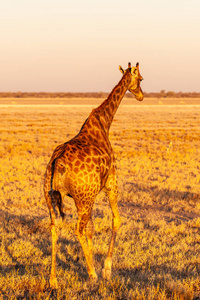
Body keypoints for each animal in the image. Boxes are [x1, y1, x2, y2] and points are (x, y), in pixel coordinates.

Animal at [43, 62, 144, 290]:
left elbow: (91, 228)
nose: (142, 95)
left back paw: (53, 280)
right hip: (82, 198)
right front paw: (106, 269)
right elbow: (116, 220)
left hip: (51, 197)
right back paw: (92, 275)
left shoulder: (93, 194)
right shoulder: (111, 182)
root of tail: (57, 163)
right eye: (141, 78)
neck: (104, 122)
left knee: (55, 228)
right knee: (77, 230)